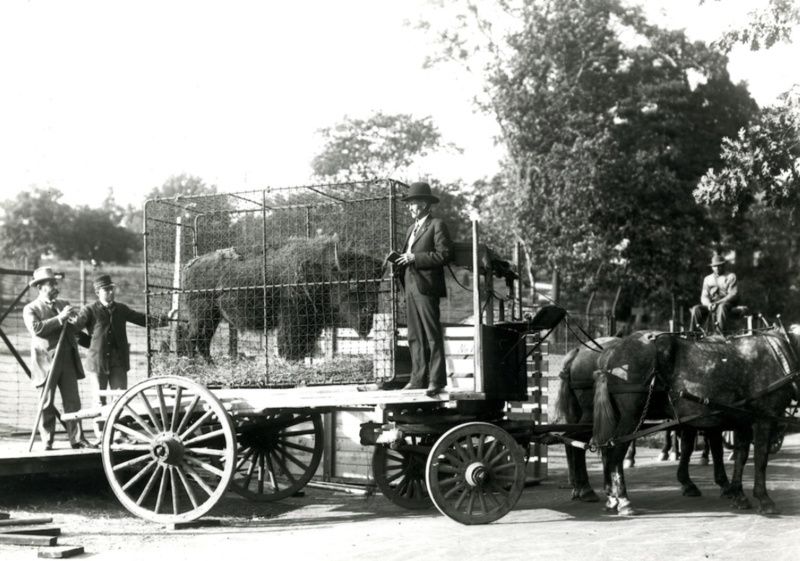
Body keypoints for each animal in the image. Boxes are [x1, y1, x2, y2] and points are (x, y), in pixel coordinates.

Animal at [560, 336, 728, 504]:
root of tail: (579, 352)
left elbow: (688, 446)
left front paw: (687, 480)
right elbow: (708, 446)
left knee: (572, 439)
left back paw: (580, 486)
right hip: (593, 413)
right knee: (578, 440)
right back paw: (586, 488)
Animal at [592, 328, 796, 516]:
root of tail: (612, 352)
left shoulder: (743, 421)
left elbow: (741, 456)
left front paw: (738, 495)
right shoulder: (764, 418)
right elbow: (760, 459)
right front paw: (763, 498)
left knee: (608, 451)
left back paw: (612, 498)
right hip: (631, 418)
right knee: (615, 452)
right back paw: (623, 499)